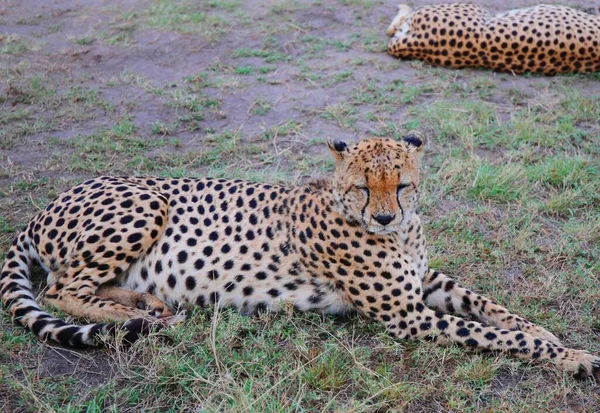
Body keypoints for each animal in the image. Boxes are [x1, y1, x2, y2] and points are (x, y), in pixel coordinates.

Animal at [1, 134, 600, 376]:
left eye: (402, 185)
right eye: (362, 187)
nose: (385, 218)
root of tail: (46, 204)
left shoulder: (422, 284)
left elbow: (491, 307)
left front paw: (549, 334)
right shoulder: (406, 315)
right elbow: (495, 333)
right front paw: (574, 358)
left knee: (86, 284)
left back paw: (146, 304)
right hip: (148, 201)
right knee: (62, 289)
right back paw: (137, 317)